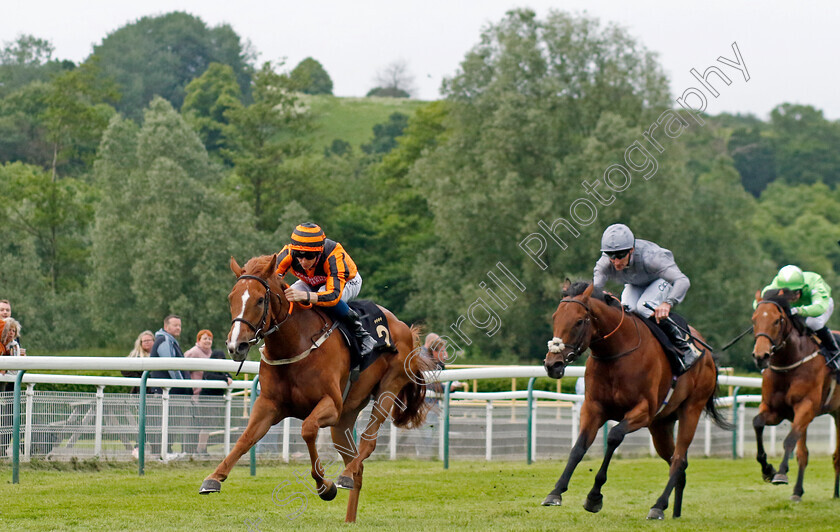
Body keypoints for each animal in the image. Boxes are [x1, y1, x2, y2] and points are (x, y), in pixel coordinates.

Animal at [199, 256, 430, 520]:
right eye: (231, 297)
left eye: (259, 299)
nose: (236, 345)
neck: (294, 343)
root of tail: (405, 328)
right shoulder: (268, 405)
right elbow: (245, 438)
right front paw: (213, 478)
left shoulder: (330, 404)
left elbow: (308, 429)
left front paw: (325, 486)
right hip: (345, 417)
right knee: (357, 467)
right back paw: (349, 515)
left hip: (388, 388)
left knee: (367, 444)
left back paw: (344, 476)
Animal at [540, 282, 728, 520]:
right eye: (555, 317)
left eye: (579, 321)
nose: (552, 364)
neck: (616, 353)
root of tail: (708, 355)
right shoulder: (593, 408)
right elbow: (578, 447)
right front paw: (555, 492)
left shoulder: (643, 411)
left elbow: (614, 436)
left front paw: (594, 497)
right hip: (661, 425)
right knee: (676, 461)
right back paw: (675, 511)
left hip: (691, 410)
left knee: (678, 460)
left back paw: (658, 506)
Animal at [752, 288, 840, 500]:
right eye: (754, 319)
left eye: (777, 320)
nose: (760, 356)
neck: (788, 364)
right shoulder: (775, 410)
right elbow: (757, 423)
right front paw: (768, 470)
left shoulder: (806, 407)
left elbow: (790, 440)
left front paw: (781, 473)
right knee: (807, 454)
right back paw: (804, 492)